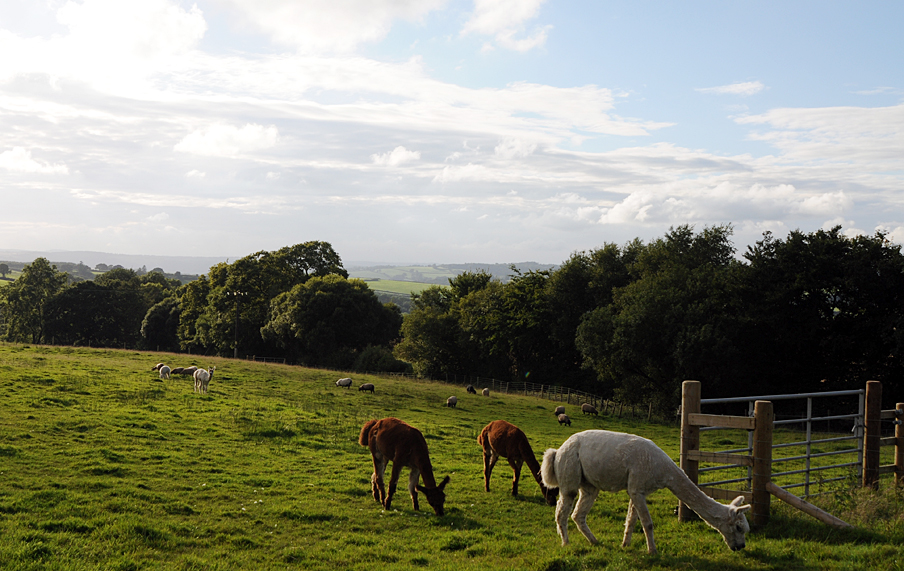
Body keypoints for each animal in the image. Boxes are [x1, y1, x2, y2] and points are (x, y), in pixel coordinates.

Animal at [540, 432, 752, 556]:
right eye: (739, 527)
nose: (741, 547)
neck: (663, 472)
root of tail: (558, 450)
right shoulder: (637, 487)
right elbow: (647, 523)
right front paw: (653, 551)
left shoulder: (637, 489)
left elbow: (632, 520)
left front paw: (625, 545)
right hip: (569, 472)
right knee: (562, 512)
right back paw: (566, 543)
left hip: (589, 485)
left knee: (578, 514)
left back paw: (594, 541)